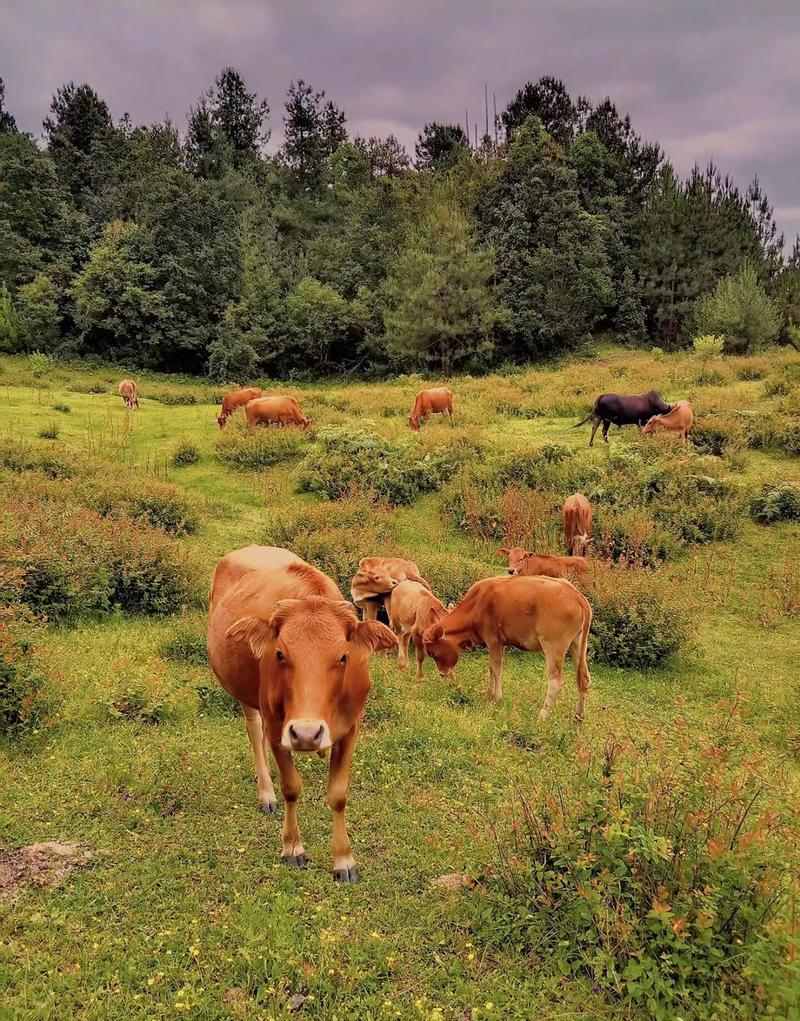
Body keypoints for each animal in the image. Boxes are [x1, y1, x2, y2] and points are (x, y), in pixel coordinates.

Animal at [206, 547, 393, 882]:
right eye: (280, 654)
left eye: (343, 657)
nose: (306, 733)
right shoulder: (278, 726)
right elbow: (291, 787)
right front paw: (293, 848)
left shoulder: (351, 727)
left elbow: (338, 793)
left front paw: (344, 860)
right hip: (247, 697)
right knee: (254, 731)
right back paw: (266, 794)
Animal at [422, 575, 591, 726]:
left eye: (433, 653)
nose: (442, 674)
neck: (477, 603)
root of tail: (576, 596)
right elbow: (491, 669)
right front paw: (488, 694)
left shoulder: (494, 642)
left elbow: (496, 670)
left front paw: (496, 697)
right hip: (576, 644)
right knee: (583, 678)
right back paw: (578, 718)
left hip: (553, 645)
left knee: (556, 681)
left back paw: (542, 716)